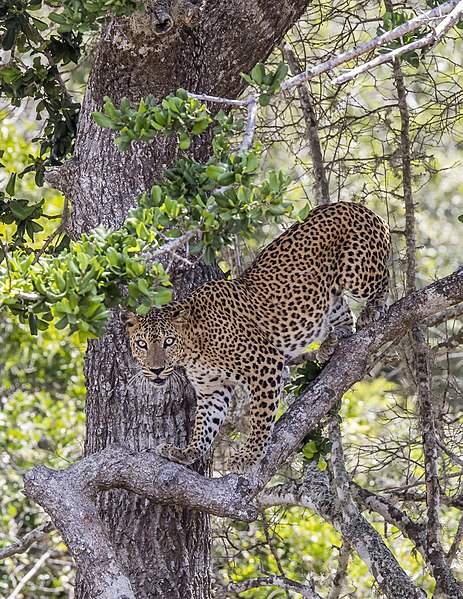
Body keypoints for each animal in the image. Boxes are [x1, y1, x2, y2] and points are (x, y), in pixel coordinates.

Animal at [120, 202, 392, 474]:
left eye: (169, 342)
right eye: (142, 344)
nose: (156, 370)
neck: (193, 349)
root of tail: (354, 205)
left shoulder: (265, 364)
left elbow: (261, 416)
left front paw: (249, 455)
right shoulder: (212, 390)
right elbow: (205, 424)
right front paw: (188, 452)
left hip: (358, 270)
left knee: (383, 278)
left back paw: (373, 309)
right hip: (328, 296)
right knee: (345, 316)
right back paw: (330, 344)